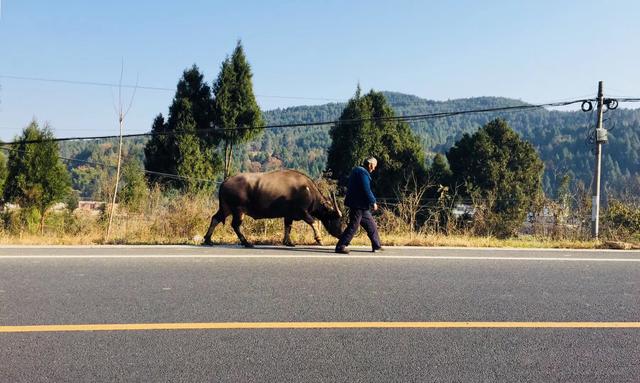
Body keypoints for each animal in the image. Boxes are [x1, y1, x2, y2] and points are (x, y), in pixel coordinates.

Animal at [205, 170, 344, 248]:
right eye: (334, 217)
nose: (340, 233)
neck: (307, 190)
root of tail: (225, 181)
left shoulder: (289, 215)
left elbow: (288, 227)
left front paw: (288, 242)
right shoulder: (302, 212)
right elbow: (313, 222)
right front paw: (319, 239)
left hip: (226, 208)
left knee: (215, 218)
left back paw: (208, 240)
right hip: (238, 210)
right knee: (235, 225)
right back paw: (247, 243)